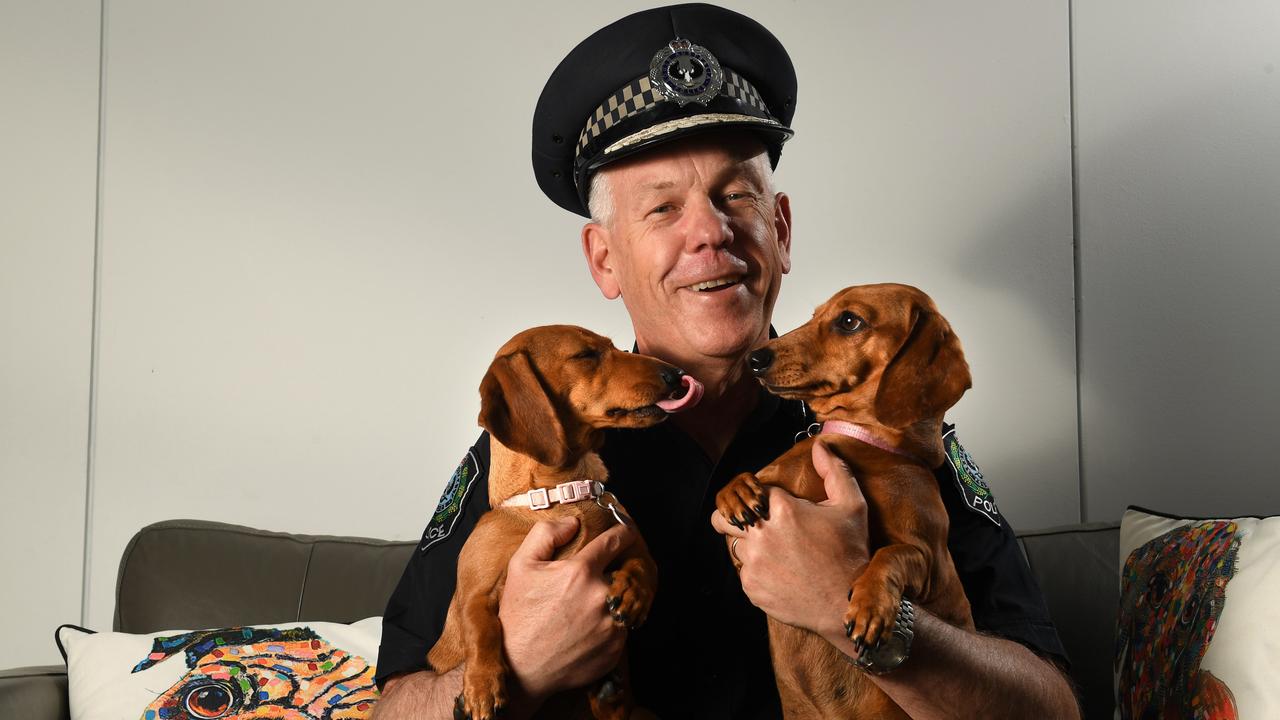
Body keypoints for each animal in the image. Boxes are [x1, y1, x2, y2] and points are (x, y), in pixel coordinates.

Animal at [427, 324, 701, 717]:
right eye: (586, 354)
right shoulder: (475, 592)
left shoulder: (631, 541)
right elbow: (481, 626)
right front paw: (481, 685)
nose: (677, 374)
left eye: (617, 348)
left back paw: (609, 692)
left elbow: (645, 565)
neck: (567, 495)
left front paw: (633, 593)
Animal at [716, 283, 972, 712]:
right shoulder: (741, 557)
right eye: (815, 315)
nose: (754, 358)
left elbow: (891, 553)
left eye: (849, 321)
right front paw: (737, 491)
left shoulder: (931, 563)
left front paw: (871, 604)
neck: (856, 441)